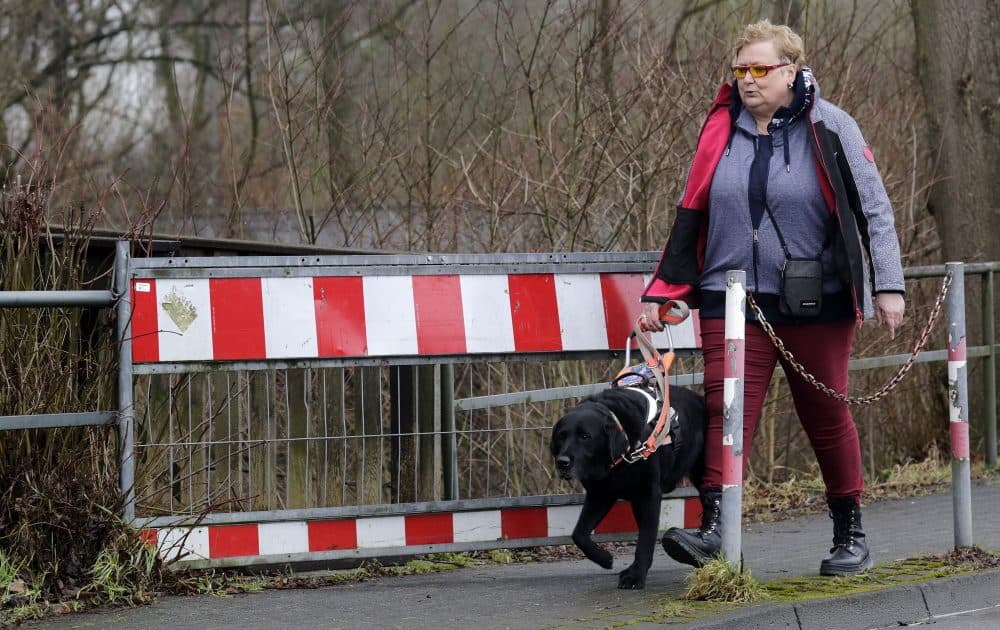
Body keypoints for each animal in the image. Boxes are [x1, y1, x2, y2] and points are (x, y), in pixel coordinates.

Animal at [552, 386, 708, 592]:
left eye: (585, 436)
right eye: (561, 436)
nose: (562, 462)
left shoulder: (648, 495)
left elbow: (645, 539)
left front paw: (636, 577)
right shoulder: (600, 494)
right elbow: (578, 534)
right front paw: (605, 559)